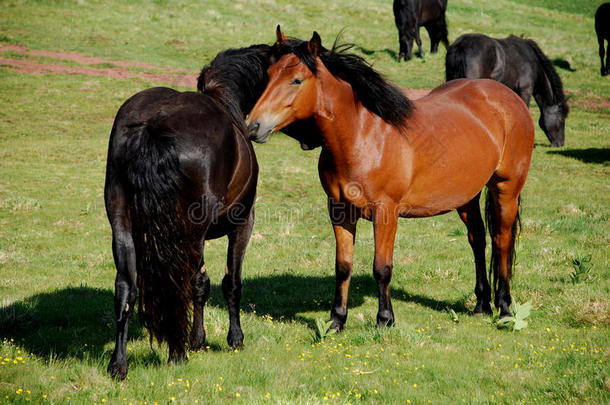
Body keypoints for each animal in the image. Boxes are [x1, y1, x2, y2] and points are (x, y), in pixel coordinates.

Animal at [105, 44, 274, 378]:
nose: (259, 129)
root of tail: (154, 126)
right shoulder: (242, 224)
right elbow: (228, 283)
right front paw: (230, 339)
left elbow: (202, 285)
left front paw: (199, 339)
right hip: (191, 232)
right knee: (180, 282)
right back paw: (177, 353)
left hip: (123, 226)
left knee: (126, 288)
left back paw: (119, 365)